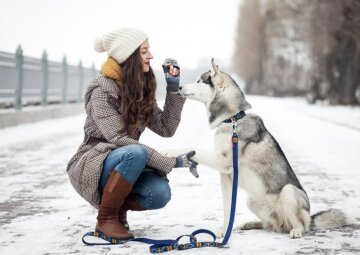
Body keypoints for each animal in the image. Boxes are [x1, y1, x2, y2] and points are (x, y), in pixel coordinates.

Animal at [165, 58, 352, 238]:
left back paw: (296, 231)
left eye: (199, 81)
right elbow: (227, 209)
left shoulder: (224, 162)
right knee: (271, 225)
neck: (232, 119)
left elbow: (193, 147)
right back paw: (251, 224)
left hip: (289, 192)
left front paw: (168, 151)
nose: (179, 87)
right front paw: (224, 232)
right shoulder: (225, 175)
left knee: (300, 225)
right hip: (252, 201)